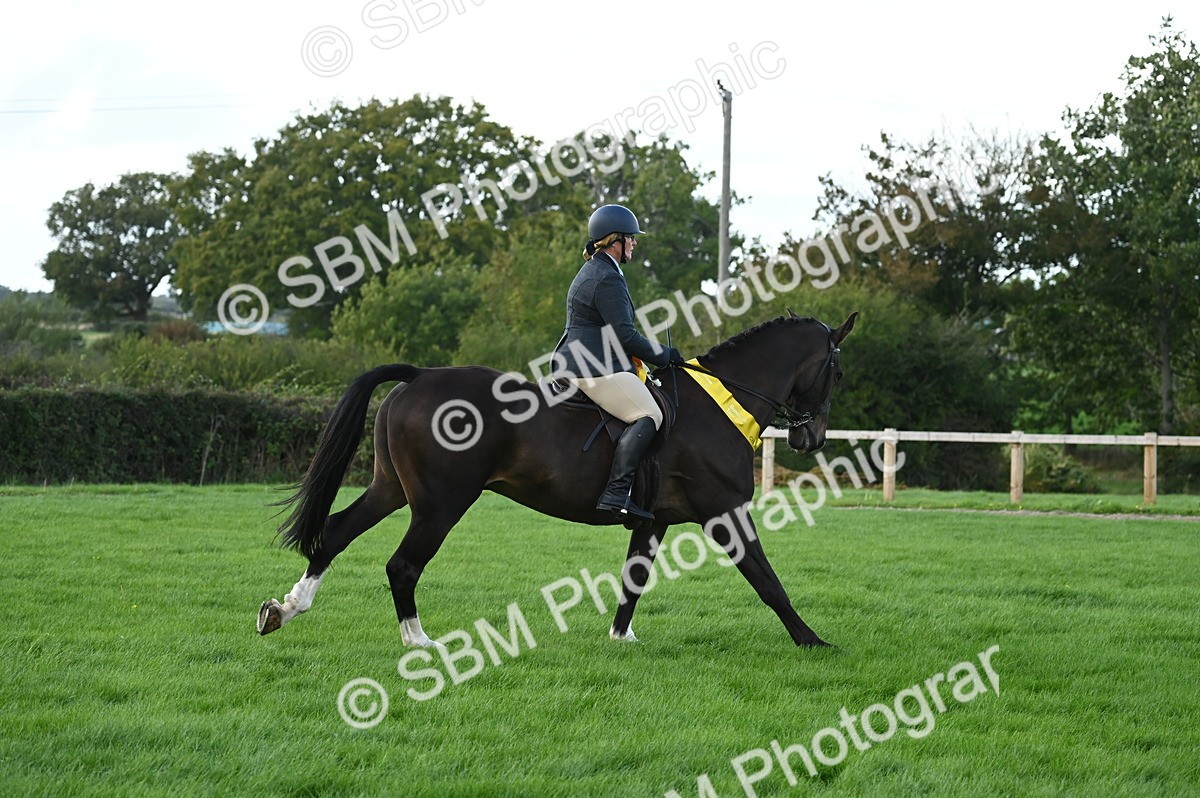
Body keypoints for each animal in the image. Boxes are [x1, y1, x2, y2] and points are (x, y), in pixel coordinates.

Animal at [257, 310, 857, 647]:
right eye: (837, 369)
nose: (811, 439)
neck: (721, 402)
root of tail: (420, 375)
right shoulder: (724, 511)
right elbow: (767, 580)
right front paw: (812, 641)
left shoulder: (654, 520)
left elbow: (634, 579)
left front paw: (620, 637)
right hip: (442, 504)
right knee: (402, 565)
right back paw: (419, 642)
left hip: (392, 489)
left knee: (336, 532)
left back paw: (285, 609)